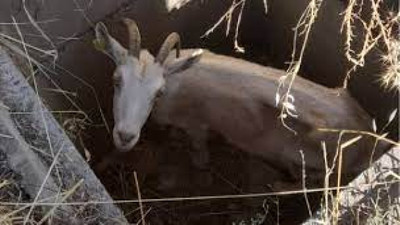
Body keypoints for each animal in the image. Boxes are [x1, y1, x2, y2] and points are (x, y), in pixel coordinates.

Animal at [94, 18, 390, 189]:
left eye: (158, 93)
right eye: (116, 80)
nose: (125, 136)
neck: (176, 78)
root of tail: (372, 141)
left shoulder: (196, 125)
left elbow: (199, 153)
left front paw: (198, 165)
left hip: (306, 159)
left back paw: (278, 186)